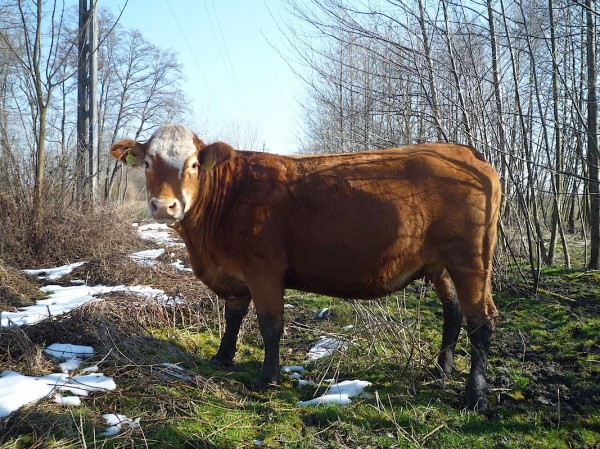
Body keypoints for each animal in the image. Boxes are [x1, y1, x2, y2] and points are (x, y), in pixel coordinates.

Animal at [112, 122, 502, 410]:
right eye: (147, 163)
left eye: (193, 164)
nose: (165, 206)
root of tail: (463, 151)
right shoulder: (236, 275)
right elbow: (233, 316)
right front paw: (222, 358)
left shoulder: (264, 271)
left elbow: (270, 325)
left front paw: (266, 379)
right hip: (441, 266)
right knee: (453, 312)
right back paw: (441, 370)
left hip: (472, 261)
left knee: (481, 322)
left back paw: (475, 396)